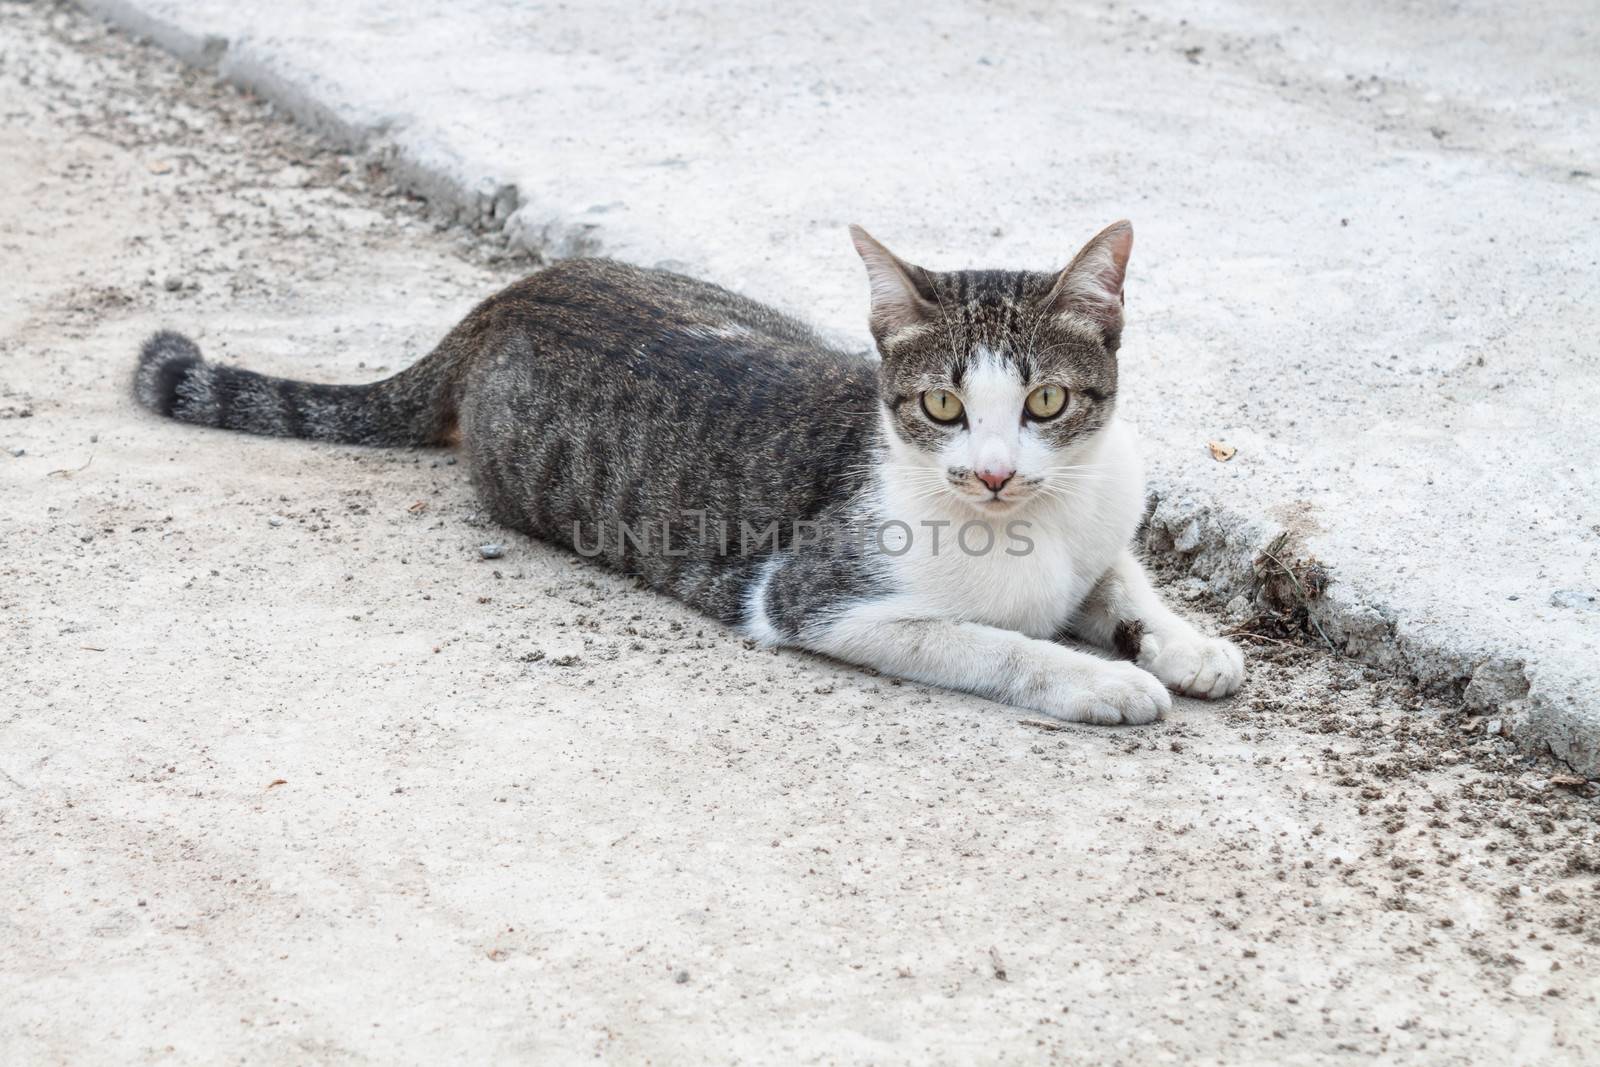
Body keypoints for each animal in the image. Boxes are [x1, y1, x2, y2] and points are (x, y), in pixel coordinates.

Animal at [134, 223, 1235, 726]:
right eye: (940, 408)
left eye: (1045, 401)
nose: (997, 474)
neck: (1033, 525)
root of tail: (514, 293)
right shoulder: (811, 597)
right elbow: (990, 641)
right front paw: (1100, 677)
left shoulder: (1098, 519)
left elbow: (1123, 579)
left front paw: (1184, 643)